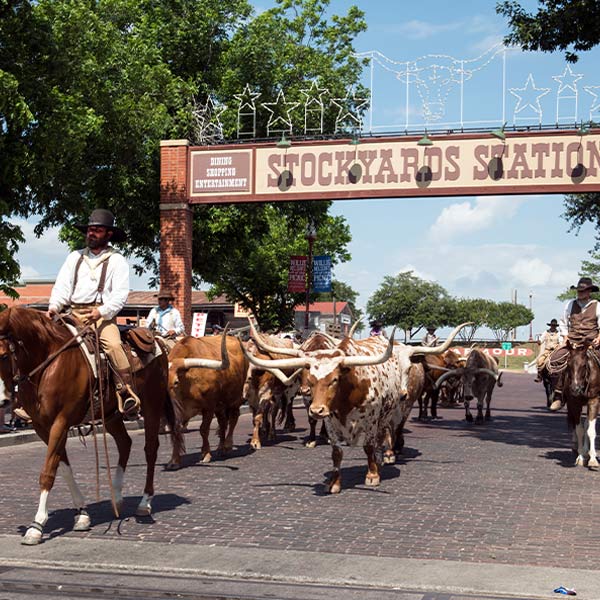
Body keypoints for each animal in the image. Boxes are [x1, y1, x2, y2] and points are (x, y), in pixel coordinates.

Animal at [0, 308, 183, 548]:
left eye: (3, 355)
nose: (2, 401)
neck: (48, 364)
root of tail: (158, 341)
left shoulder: (61, 421)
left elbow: (48, 471)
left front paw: (36, 526)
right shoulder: (43, 427)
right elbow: (63, 467)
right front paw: (82, 515)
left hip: (152, 404)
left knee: (150, 449)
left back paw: (145, 503)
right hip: (111, 415)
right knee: (125, 443)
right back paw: (117, 498)